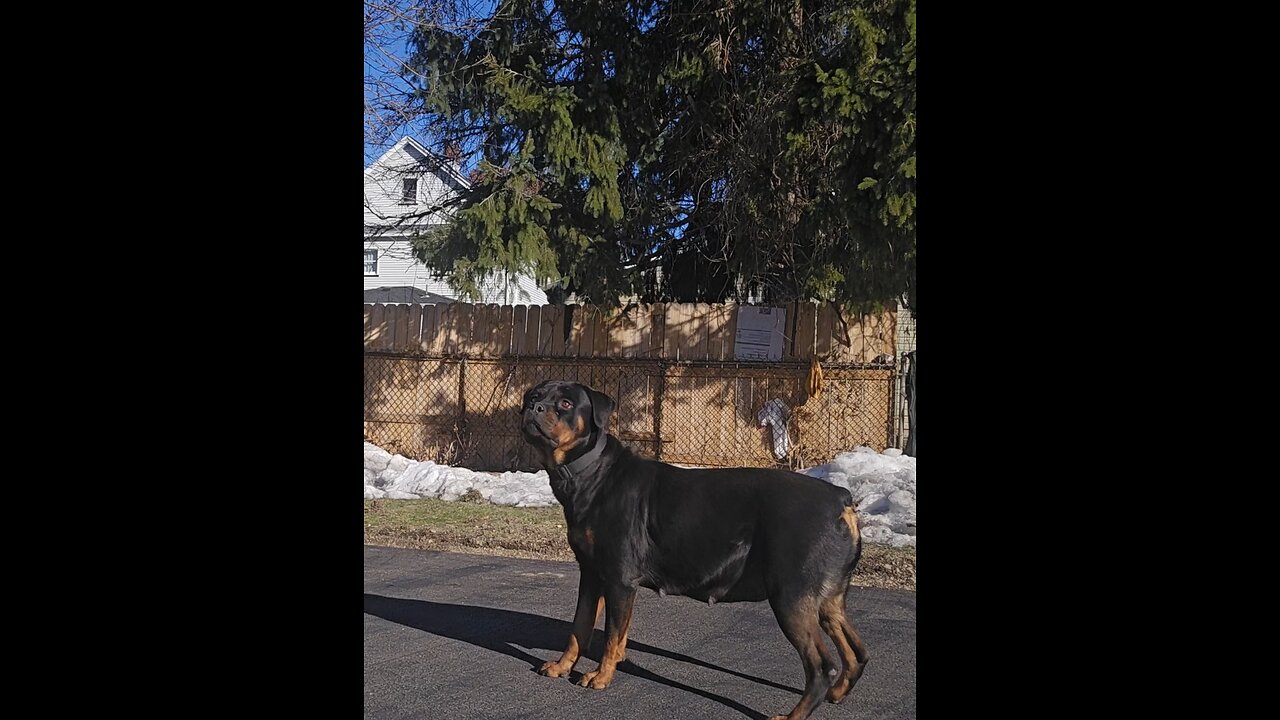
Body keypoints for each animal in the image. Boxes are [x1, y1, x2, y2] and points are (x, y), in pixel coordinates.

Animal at [519, 379, 870, 712]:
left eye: (566, 404)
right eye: (534, 396)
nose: (534, 408)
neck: (589, 472)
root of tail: (842, 500)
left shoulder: (620, 579)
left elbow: (611, 636)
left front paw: (601, 677)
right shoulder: (593, 573)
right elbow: (580, 628)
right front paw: (563, 666)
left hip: (791, 596)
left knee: (822, 666)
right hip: (827, 598)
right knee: (857, 653)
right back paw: (837, 694)